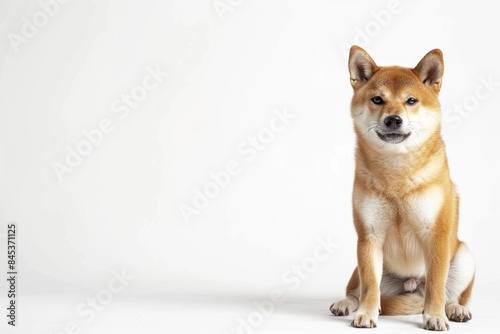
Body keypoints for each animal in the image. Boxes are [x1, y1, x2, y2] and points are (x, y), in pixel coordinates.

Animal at [330, 47, 474, 332]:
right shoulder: (369, 235)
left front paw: (434, 315)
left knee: (451, 294)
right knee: (357, 289)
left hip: (464, 257)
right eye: (377, 99)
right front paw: (366, 314)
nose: (393, 119)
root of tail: (411, 284)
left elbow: (437, 286)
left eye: (411, 101)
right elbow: (370, 287)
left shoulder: (436, 235)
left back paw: (455, 309)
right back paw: (346, 304)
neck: (396, 172)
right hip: (361, 265)